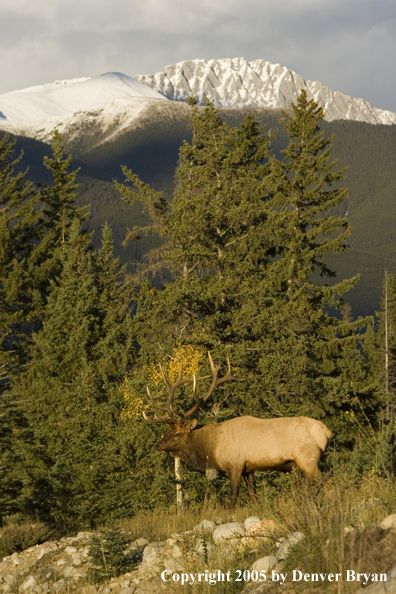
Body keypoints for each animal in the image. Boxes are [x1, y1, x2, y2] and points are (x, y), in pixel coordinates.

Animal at [144, 352, 332, 504]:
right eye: (166, 431)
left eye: (177, 433)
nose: (158, 446)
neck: (212, 447)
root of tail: (327, 432)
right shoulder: (249, 468)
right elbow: (253, 494)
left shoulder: (235, 465)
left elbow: (233, 496)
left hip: (308, 459)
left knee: (324, 483)